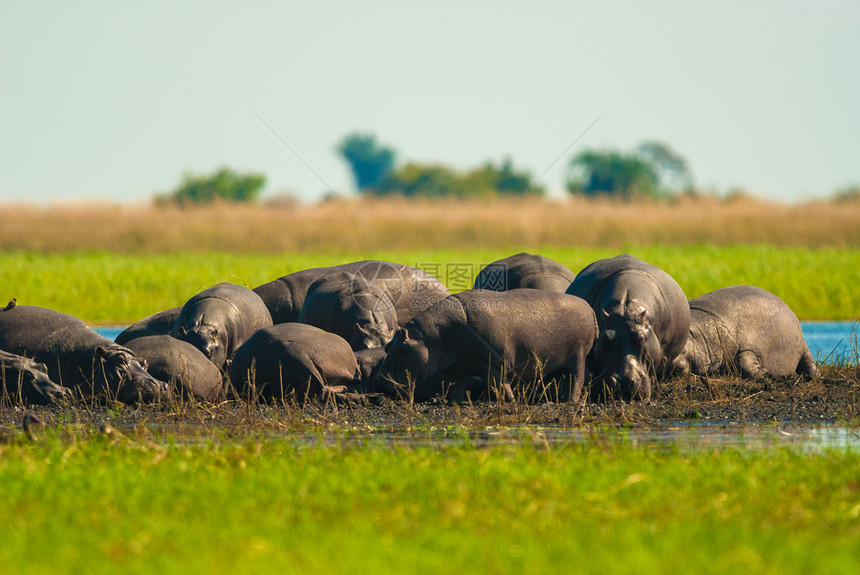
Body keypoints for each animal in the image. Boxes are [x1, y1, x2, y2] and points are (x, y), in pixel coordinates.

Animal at [376, 288, 596, 404]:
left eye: (395, 350)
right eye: (386, 348)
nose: (379, 381)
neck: (431, 338)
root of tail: (589, 306)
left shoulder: (495, 363)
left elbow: (499, 383)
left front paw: (510, 402)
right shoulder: (456, 367)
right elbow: (457, 386)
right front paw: (453, 403)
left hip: (578, 355)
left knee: (577, 378)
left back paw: (571, 401)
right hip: (560, 361)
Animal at [672, 284, 820, 382]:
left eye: (681, 345)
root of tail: (790, 310)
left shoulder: (748, 346)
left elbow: (744, 362)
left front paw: (765, 374)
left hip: (802, 345)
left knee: (809, 362)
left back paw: (814, 375)